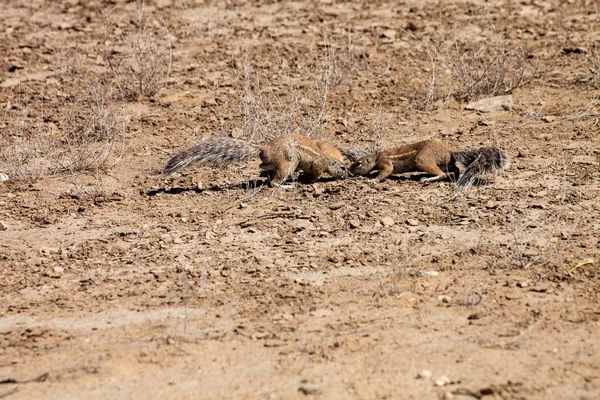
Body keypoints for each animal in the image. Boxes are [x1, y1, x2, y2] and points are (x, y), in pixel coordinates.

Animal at [161, 133, 356, 186]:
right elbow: (316, 172)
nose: (348, 176)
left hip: (278, 161)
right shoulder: (318, 163)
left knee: (264, 165)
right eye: (343, 168)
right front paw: (311, 180)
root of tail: (265, 148)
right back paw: (285, 184)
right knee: (275, 180)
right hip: (289, 161)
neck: (327, 158)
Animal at [352, 140, 510, 190]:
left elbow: (386, 170)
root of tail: (450, 152)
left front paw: (373, 180)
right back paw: (455, 176)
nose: (349, 170)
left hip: (421, 159)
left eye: (357, 163)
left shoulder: (385, 162)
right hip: (444, 163)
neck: (375, 158)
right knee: (454, 169)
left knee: (441, 174)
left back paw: (427, 179)